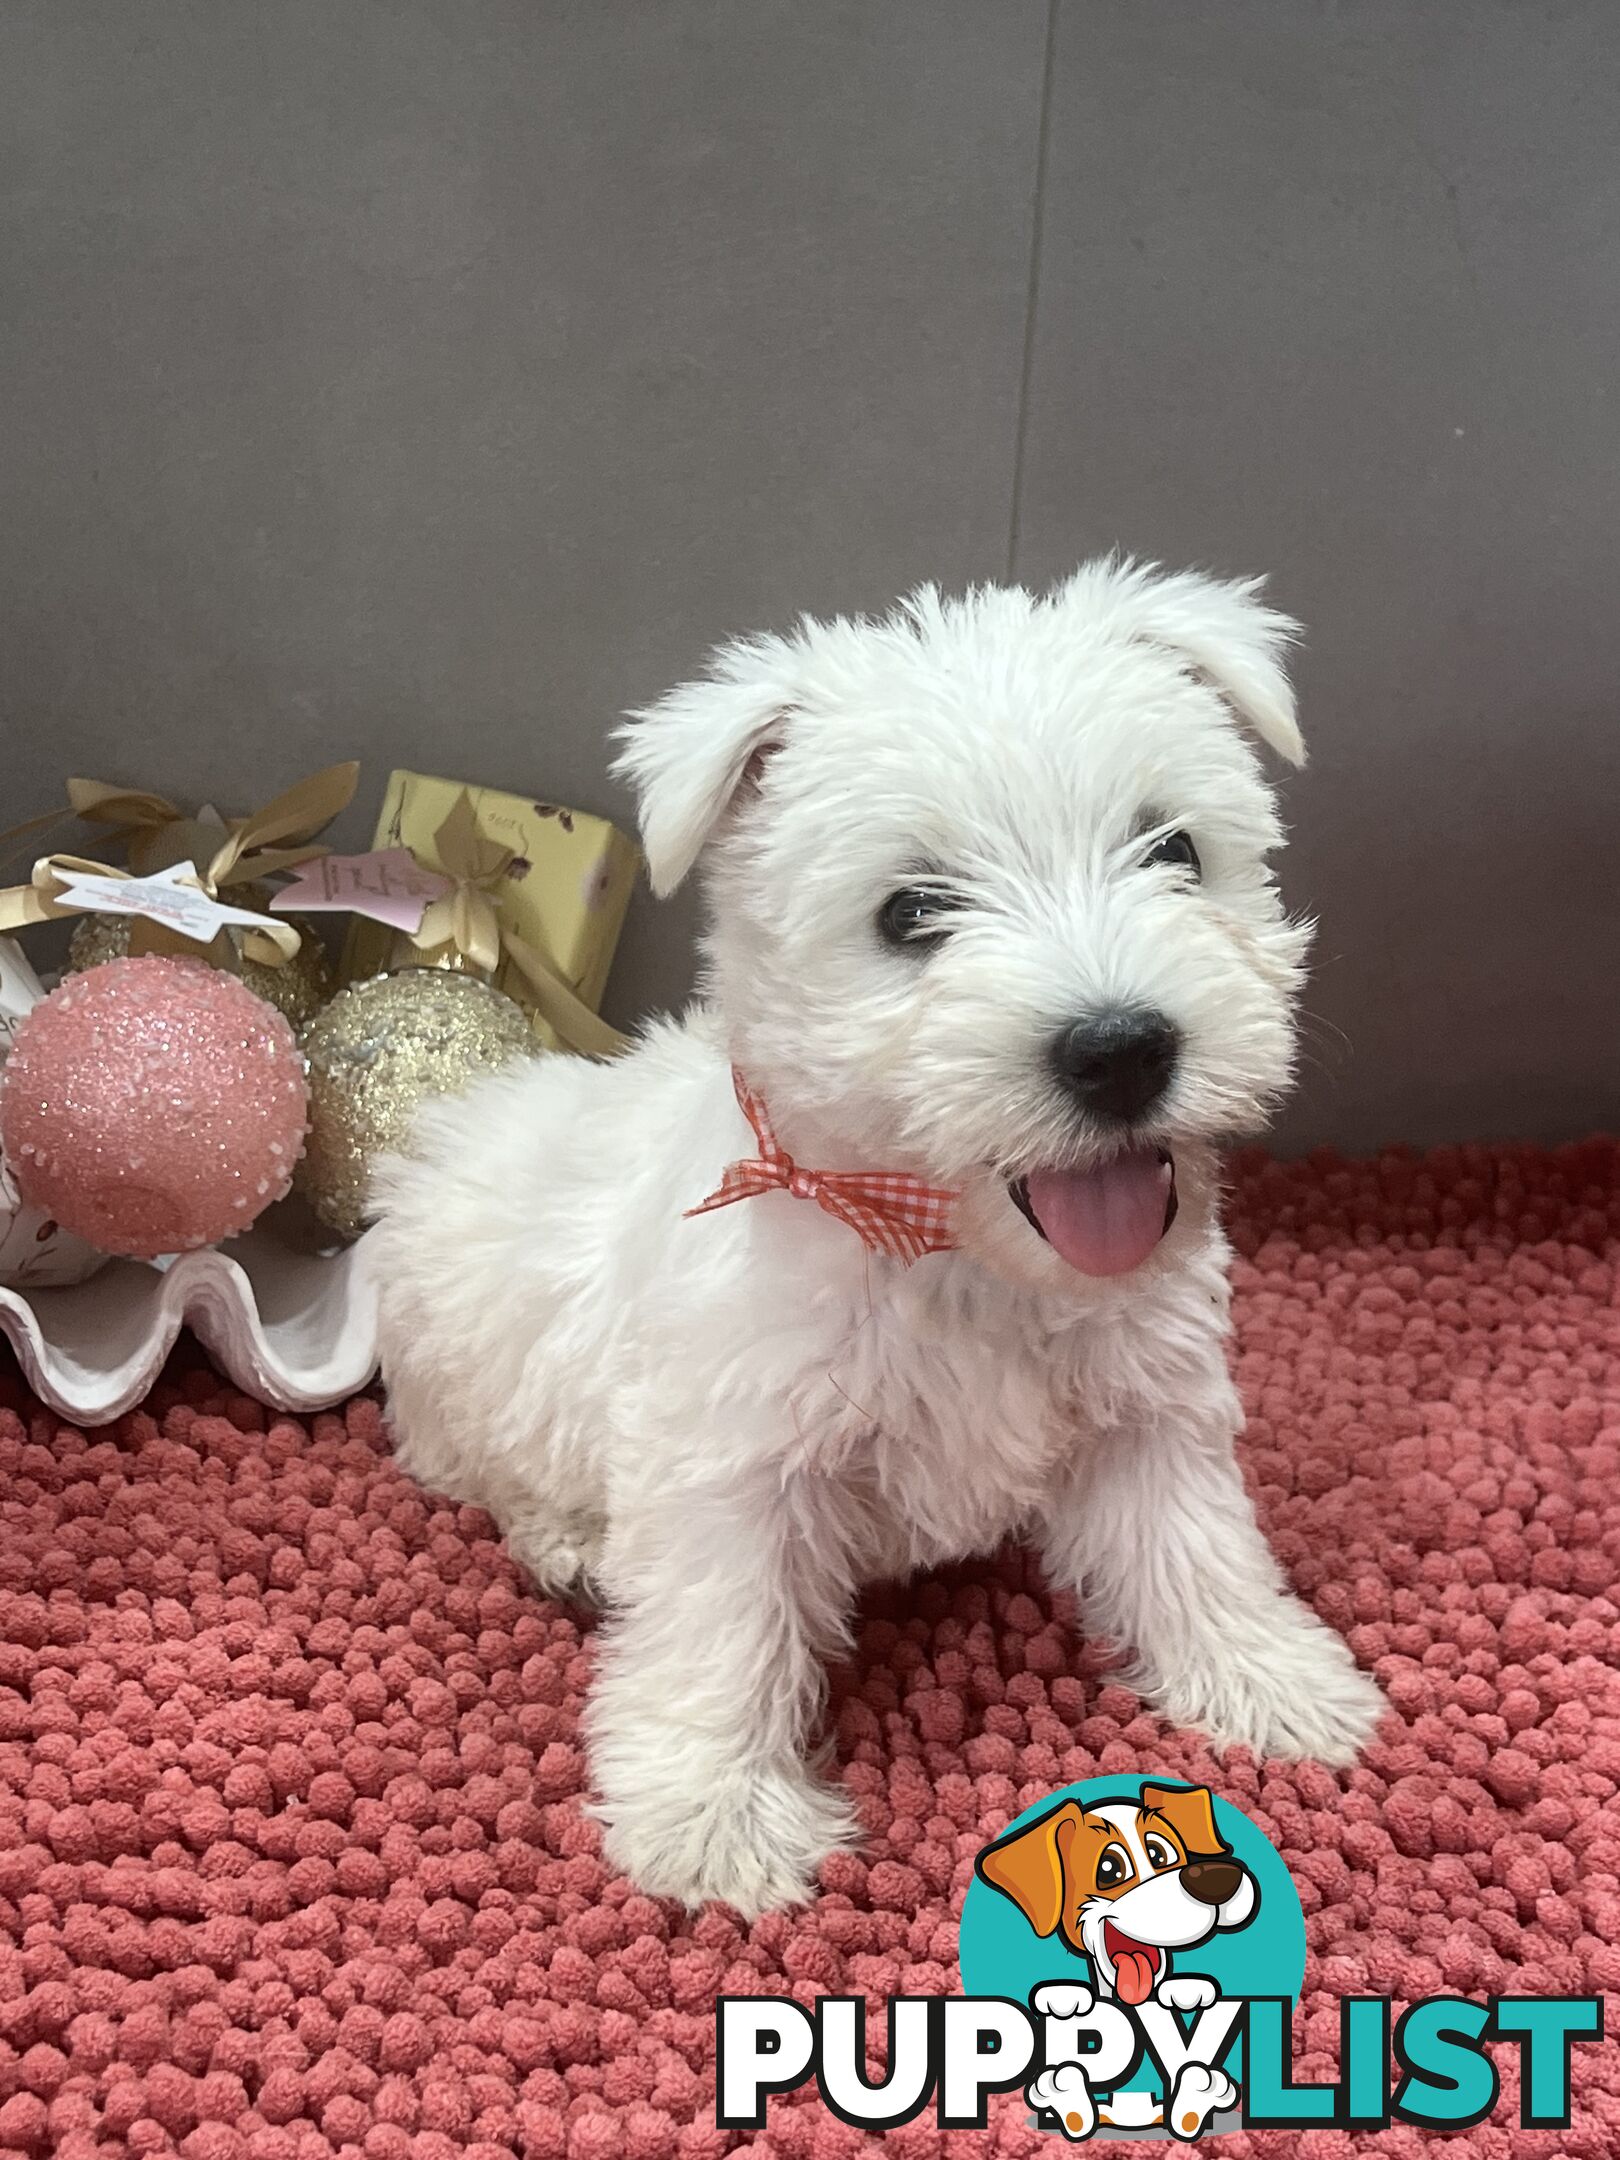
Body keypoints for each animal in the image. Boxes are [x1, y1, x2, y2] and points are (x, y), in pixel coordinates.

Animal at [367, 565, 1382, 1918]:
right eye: (911, 913)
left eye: (1174, 848)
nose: (1121, 1048)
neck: (956, 1252)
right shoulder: (733, 1451)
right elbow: (724, 1622)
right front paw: (714, 1820)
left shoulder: (1149, 1402)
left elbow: (1196, 1545)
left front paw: (1276, 1681)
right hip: (472, 1345)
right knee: (474, 1465)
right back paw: (571, 1543)